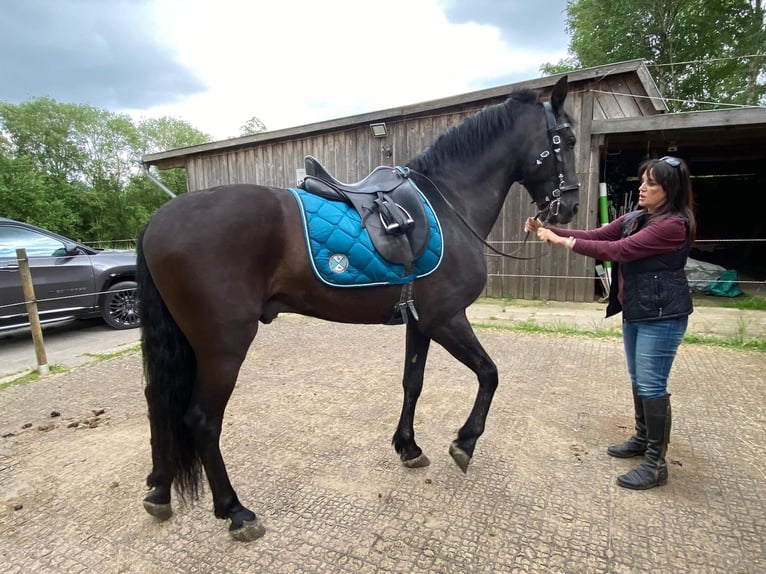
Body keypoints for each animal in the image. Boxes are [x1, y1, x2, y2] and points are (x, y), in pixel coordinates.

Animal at [140, 74, 584, 544]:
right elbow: (490, 373)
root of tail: (158, 220)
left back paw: (160, 491)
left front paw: (408, 446)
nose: (571, 206)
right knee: (202, 419)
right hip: (223, 345)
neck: (449, 203)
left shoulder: (421, 322)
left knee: (158, 401)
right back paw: (235, 511)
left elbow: (413, 382)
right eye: (568, 139)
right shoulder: (448, 319)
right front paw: (464, 443)